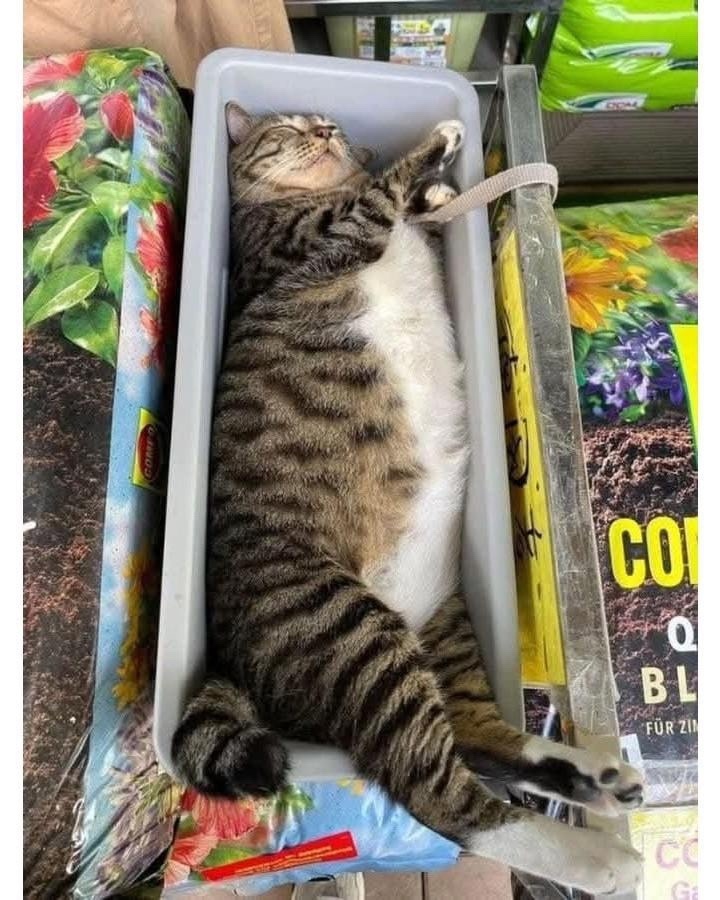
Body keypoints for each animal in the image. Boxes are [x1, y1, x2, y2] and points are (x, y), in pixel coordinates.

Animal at [171, 103, 644, 895]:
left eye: (321, 122)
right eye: (286, 127)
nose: (327, 128)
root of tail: (233, 659)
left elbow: (404, 202)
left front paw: (434, 193)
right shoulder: (323, 234)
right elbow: (380, 190)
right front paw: (436, 147)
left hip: (444, 627)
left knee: (475, 737)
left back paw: (593, 778)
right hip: (351, 633)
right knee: (438, 794)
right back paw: (599, 858)